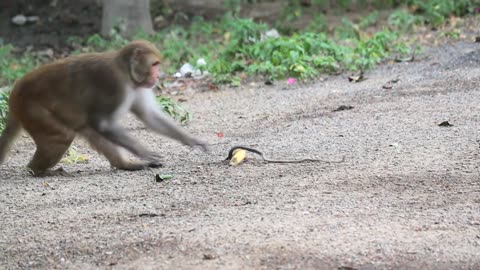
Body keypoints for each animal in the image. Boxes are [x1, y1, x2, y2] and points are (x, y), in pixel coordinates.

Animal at [0, 39, 208, 176]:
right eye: (155, 64)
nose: (157, 76)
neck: (126, 71)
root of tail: (14, 92)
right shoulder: (114, 84)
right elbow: (104, 123)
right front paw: (145, 152)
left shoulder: (137, 86)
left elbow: (149, 116)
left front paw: (192, 140)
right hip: (32, 109)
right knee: (63, 136)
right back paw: (37, 170)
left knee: (87, 128)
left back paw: (125, 165)